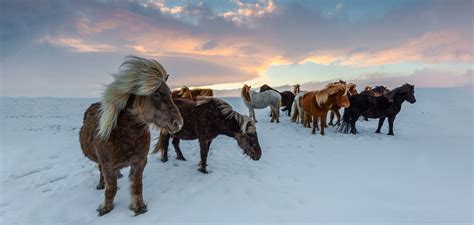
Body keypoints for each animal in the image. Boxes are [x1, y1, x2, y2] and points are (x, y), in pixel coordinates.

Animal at [78, 55, 182, 215]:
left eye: (171, 94)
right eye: (156, 94)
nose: (179, 123)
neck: (126, 136)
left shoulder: (139, 163)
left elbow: (137, 186)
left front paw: (139, 208)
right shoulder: (108, 166)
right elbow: (111, 189)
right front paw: (105, 209)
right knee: (101, 173)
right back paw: (101, 184)